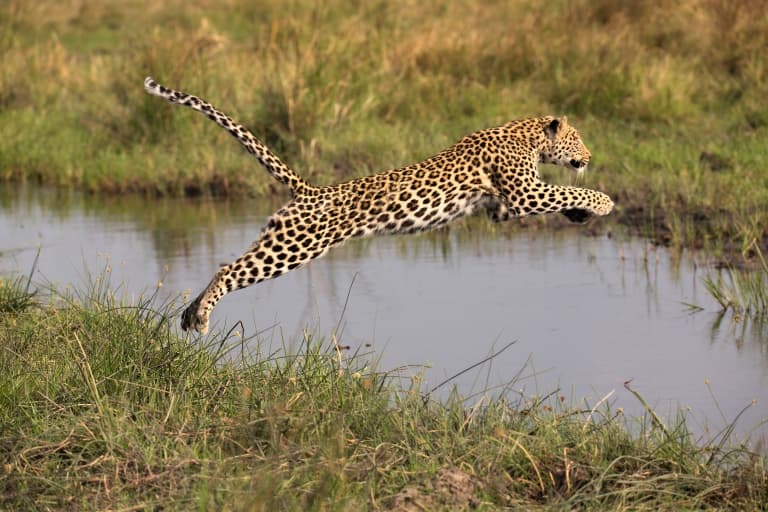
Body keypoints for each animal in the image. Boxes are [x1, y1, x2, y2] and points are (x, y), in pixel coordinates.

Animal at [142, 75, 612, 332]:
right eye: (578, 138)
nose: (589, 157)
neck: (525, 133)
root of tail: (310, 191)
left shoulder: (503, 205)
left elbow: (559, 198)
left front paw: (581, 212)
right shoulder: (524, 191)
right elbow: (568, 189)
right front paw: (603, 202)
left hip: (282, 237)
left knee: (226, 266)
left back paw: (189, 313)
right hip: (294, 246)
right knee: (230, 269)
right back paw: (202, 314)